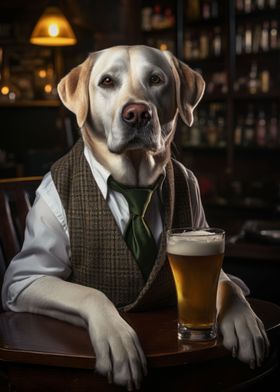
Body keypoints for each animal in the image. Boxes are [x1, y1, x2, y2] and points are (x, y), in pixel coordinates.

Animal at [7, 45, 268, 388]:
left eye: (155, 79)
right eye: (107, 81)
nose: (137, 113)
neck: (133, 183)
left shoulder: (203, 226)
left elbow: (231, 285)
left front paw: (244, 320)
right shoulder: (26, 279)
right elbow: (91, 293)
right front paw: (117, 337)